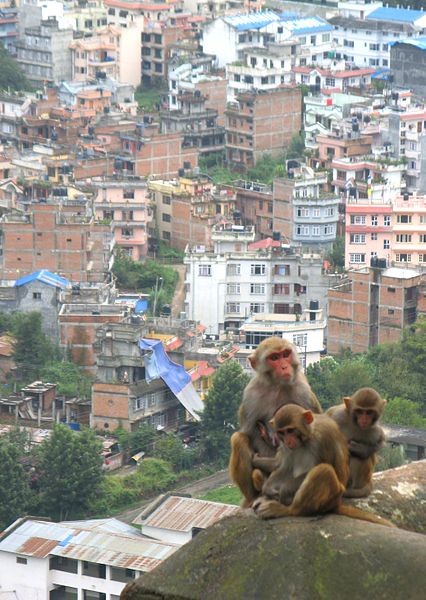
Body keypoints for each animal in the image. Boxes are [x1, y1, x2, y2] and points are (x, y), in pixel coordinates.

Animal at [228, 338, 322, 506]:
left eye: (285, 354)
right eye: (274, 358)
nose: (284, 366)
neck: (277, 385)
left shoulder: (303, 391)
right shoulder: (251, 395)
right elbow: (249, 432)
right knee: (239, 438)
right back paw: (253, 497)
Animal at [251, 404, 394, 524]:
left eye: (291, 430)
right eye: (282, 432)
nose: (288, 441)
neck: (308, 437)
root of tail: (338, 503)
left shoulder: (322, 439)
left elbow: (319, 466)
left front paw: (284, 490)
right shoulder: (286, 447)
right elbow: (285, 466)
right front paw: (267, 487)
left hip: (331, 499)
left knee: (324, 471)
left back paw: (287, 509)